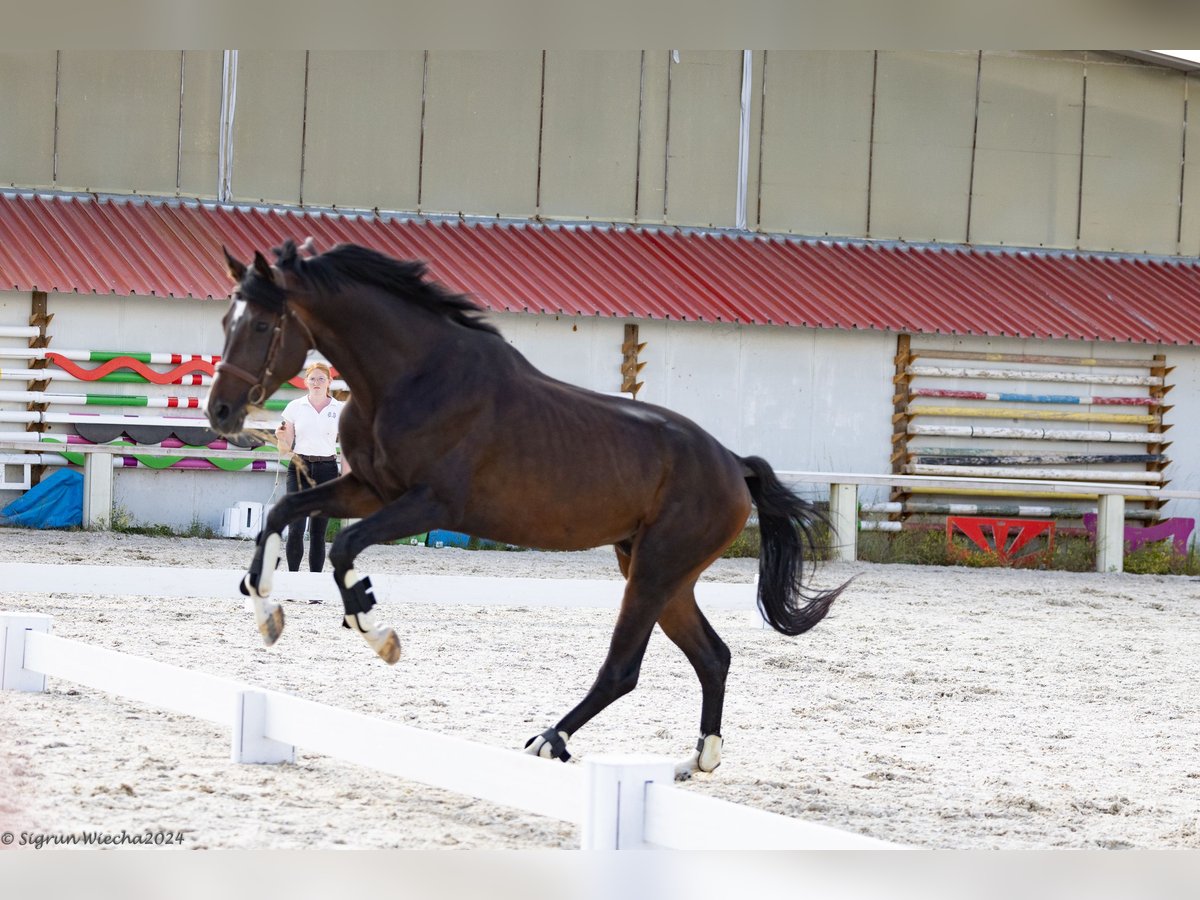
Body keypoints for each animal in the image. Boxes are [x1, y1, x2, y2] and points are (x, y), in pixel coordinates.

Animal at [206, 243, 849, 777]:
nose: (220, 412)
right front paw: (267, 613)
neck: (411, 375)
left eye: (261, 323)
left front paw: (377, 631)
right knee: (712, 657)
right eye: (225, 321)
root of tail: (733, 465)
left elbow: (342, 547)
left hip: (656, 570)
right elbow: (284, 511)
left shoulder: (427, 504)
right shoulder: (369, 488)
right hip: (659, 572)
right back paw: (700, 759)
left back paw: (550, 741)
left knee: (625, 669)